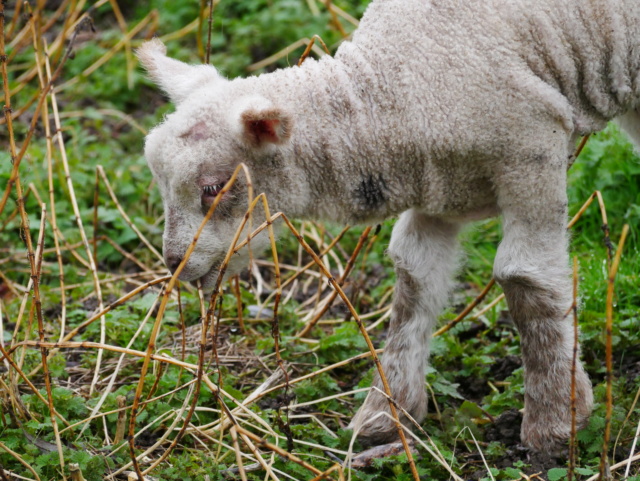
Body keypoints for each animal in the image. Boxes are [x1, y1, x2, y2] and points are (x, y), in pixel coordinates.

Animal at [136, 0, 640, 452]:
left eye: (213, 187)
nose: (176, 262)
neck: (389, 92)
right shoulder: (441, 185)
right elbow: (414, 279)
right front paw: (386, 413)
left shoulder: (529, 146)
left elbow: (526, 276)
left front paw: (556, 421)